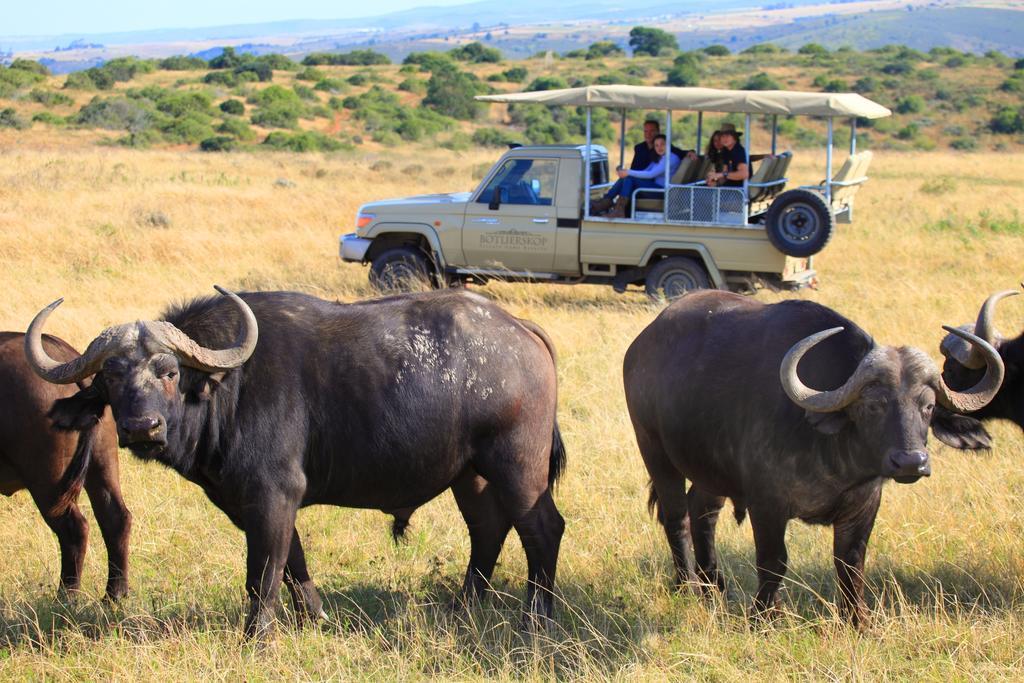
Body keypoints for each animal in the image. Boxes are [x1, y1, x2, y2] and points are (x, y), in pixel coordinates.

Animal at [0, 331, 131, 598]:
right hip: (101, 463)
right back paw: (114, 595)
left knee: (74, 530)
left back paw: (66, 597)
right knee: (116, 518)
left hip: (48, 481)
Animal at [25, 286, 569, 634]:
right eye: (111, 377)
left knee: (542, 528)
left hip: (517, 467)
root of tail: (520, 330)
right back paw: (463, 606)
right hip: (470, 475)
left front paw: (256, 637)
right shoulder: (255, 504)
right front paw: (313, 619)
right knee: (488, 528)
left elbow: (263, 575)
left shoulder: (272, 496)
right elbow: (294, 564)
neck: (228, 388)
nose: (142, 428)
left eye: (169, 372)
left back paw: (536, 617)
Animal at [618, 290, 1003, 626]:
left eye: (928, 406)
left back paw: (714, 586)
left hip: (710, 469)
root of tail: (641, 345)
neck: (834, 458)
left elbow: (850, 562)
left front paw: (857, 620)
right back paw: (687, 586)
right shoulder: (766, 503)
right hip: (654, 451)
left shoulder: (864, 504)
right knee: (676, 517)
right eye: (873, 405)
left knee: (702, 512)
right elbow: (773, 561)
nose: (911, 462)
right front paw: (765, 617)